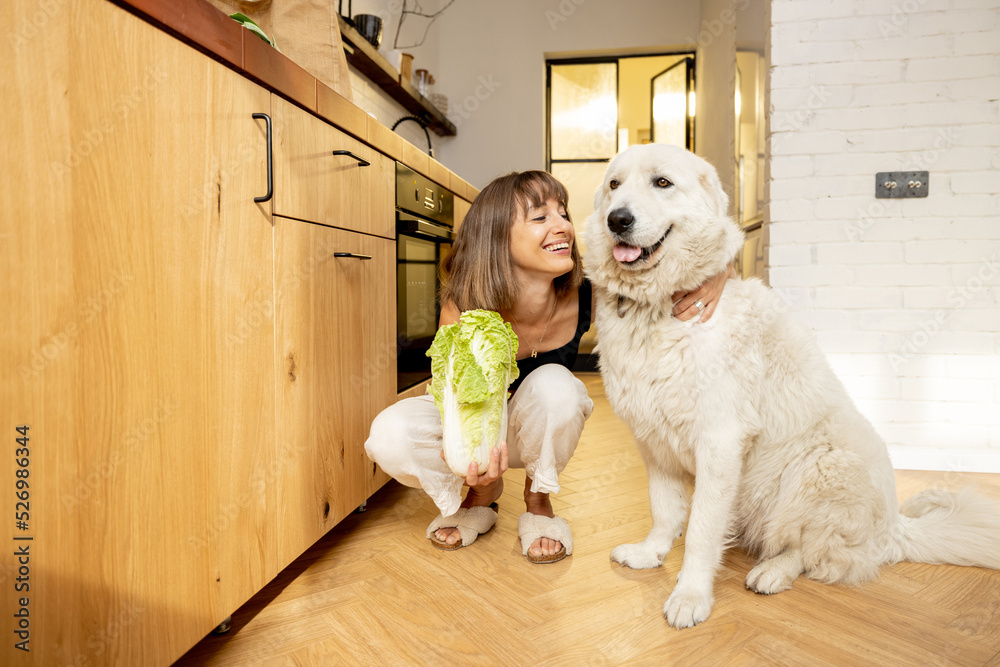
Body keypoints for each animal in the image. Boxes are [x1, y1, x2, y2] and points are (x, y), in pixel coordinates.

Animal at [584, 145, 1000, 632]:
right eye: (614, 185)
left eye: (662, 183)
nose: (617, 219)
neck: (657, 308)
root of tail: (894, 529)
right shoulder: (654, 442)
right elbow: (664, 510)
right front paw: (650, 554)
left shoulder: (719, 443)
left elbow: (702, 532)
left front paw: (690, 596)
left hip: (821, 468)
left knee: (818, 552)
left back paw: (773, 572)